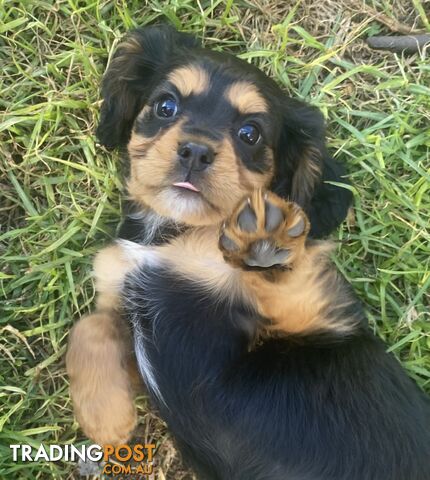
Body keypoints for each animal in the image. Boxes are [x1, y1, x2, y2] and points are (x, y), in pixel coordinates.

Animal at [65, 26, 428, 480]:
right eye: (166, 106)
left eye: (250, 133)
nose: (195, 151)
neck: (174, 233)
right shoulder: (119, 286)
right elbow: (88, 327)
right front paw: (105, 415)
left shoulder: (320, 317)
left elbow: (282, 271)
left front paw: (263, 235)